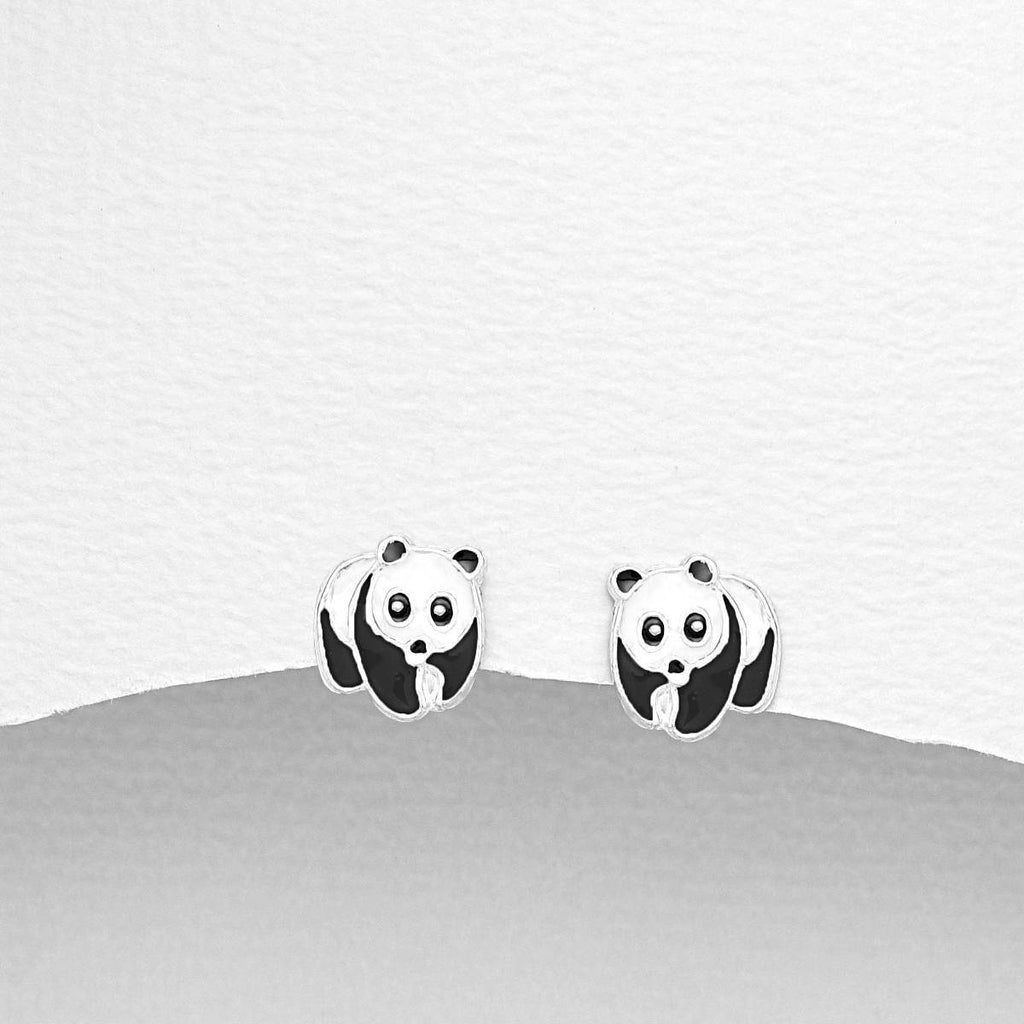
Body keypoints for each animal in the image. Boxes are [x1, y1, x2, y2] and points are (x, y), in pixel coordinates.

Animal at [315, 535, 485, 721]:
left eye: (441, 612)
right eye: (398, 607)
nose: (419, 645)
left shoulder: (466, 633)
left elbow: (456, 664)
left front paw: (440, 698)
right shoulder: (369, 621)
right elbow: (389, 670)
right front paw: (410, 707)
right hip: (331, 615)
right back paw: (348, 682)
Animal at [607, 554, 779, 741]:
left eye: (696, 627)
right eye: (653, 632)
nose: (675, 665)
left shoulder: (725, 643)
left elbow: (705, 691)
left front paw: (683, 727)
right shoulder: (627, 653)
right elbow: (638, 685)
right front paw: (652, 717)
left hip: (762, 637)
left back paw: (746, 701)